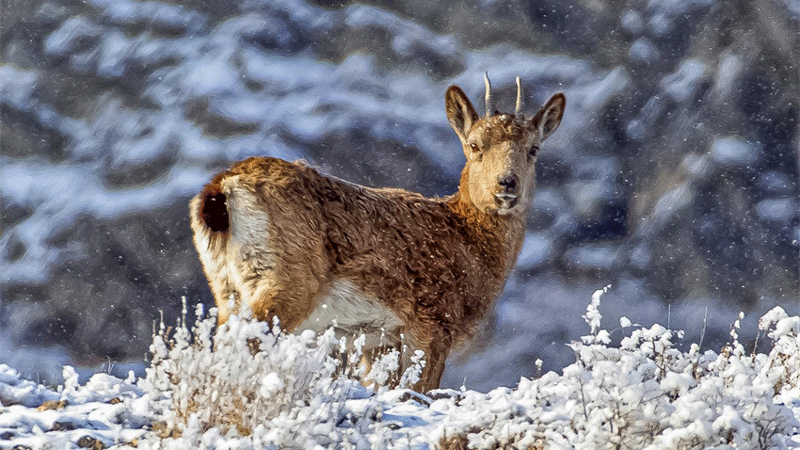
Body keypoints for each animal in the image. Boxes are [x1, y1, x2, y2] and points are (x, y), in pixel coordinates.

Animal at [189, 75, 564, 392]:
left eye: (533, 149)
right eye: (474, 145)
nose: (507, 183)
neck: (468, 241)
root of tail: (221, 189)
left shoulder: (379, 339)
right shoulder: (431, 322)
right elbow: (418, 389)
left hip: (224, 283)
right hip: (284, 278)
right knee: (248, 340)